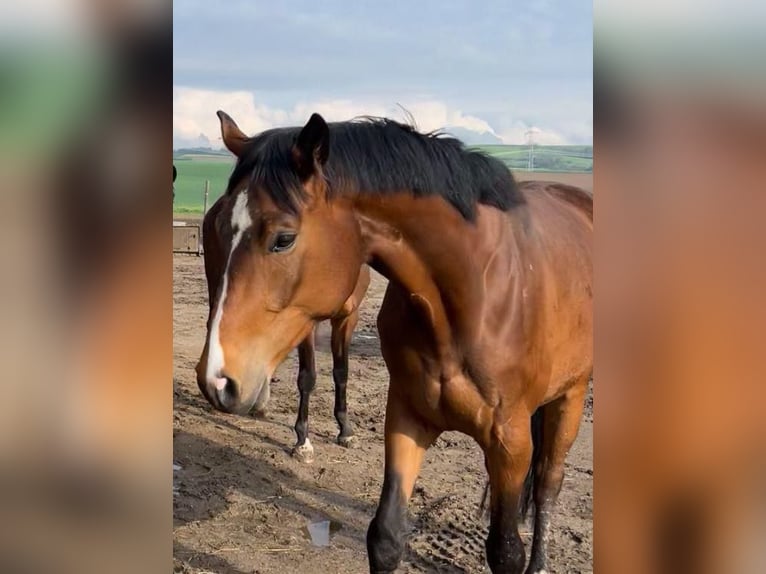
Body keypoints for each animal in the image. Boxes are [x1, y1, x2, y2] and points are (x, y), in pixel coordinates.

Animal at [201, 161, 372, 464]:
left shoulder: (347, 318)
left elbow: (341, 371)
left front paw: (345, 429)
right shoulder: (306, 321)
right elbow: (307, 377)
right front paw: (303, 440)